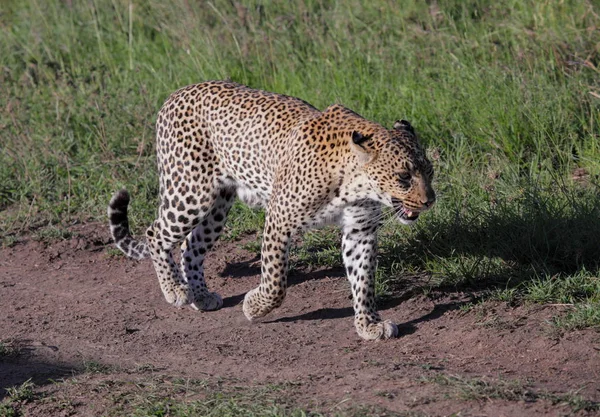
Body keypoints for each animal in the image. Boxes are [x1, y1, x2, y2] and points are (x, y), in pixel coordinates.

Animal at [109, 79, 436, 340]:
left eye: (429, 171)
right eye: (403, 177)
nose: (429, 200)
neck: (355, 184)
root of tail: (176, 93)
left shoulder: (360, 231)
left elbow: (364, 280)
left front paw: (369, 324)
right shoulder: (280, 219)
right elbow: (276, 280)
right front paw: (254, 307)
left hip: (217, 208)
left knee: (191, 246)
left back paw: (200, 296)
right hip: (191, 193)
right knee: (155, 233)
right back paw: (175, 290)